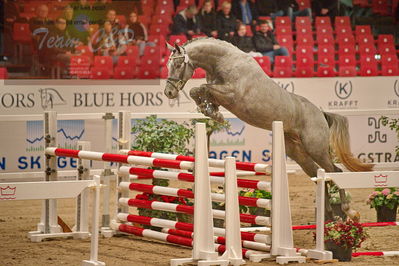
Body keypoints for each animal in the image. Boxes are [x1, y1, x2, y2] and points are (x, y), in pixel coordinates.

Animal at [163, 37, 376, 220]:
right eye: (168, 65)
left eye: (178, 65)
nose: (169, 92)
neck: (225, 61)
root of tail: (321, 114)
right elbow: (198, 90)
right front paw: (210, 110)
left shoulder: (231, 95)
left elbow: (202, 88)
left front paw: (213, 112)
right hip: (298, 152)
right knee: (319, 176)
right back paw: (329, 216)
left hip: (316, 149)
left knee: (335, 172)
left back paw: (349, 212)